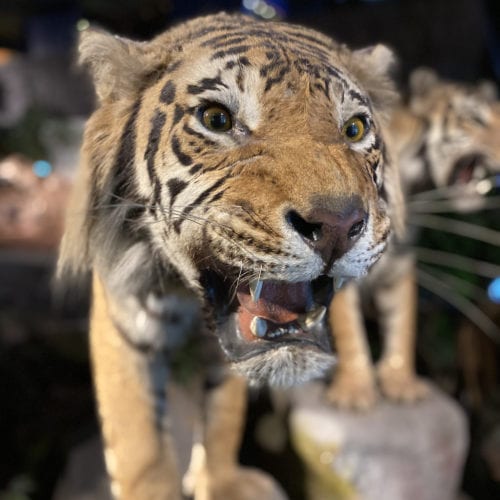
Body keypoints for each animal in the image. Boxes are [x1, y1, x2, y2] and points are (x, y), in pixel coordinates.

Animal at [57, 13, 402, 500]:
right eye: (217, 119)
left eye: (354, 129)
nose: (337, 224)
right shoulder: (121, 324)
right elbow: (141, 443)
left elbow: (224, 413)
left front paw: (220, 482)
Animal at [328, 67, 500, 410]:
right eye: (474, 119)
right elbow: (347, 327)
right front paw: (355, 391)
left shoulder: (400, 261)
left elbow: (402, 320)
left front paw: (401, 383)